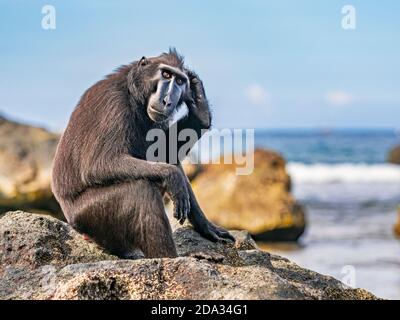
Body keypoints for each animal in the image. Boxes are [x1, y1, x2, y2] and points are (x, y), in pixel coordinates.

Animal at [52, 48, 234, 258]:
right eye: (166, 74)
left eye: (180, 82)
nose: (167, 101)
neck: (133, 92)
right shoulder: (114, 103)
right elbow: (99, 165)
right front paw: (173, 176)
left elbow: (166, 154)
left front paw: (201, 111)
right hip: (87, 216)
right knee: (141, 191)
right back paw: (169, 258)